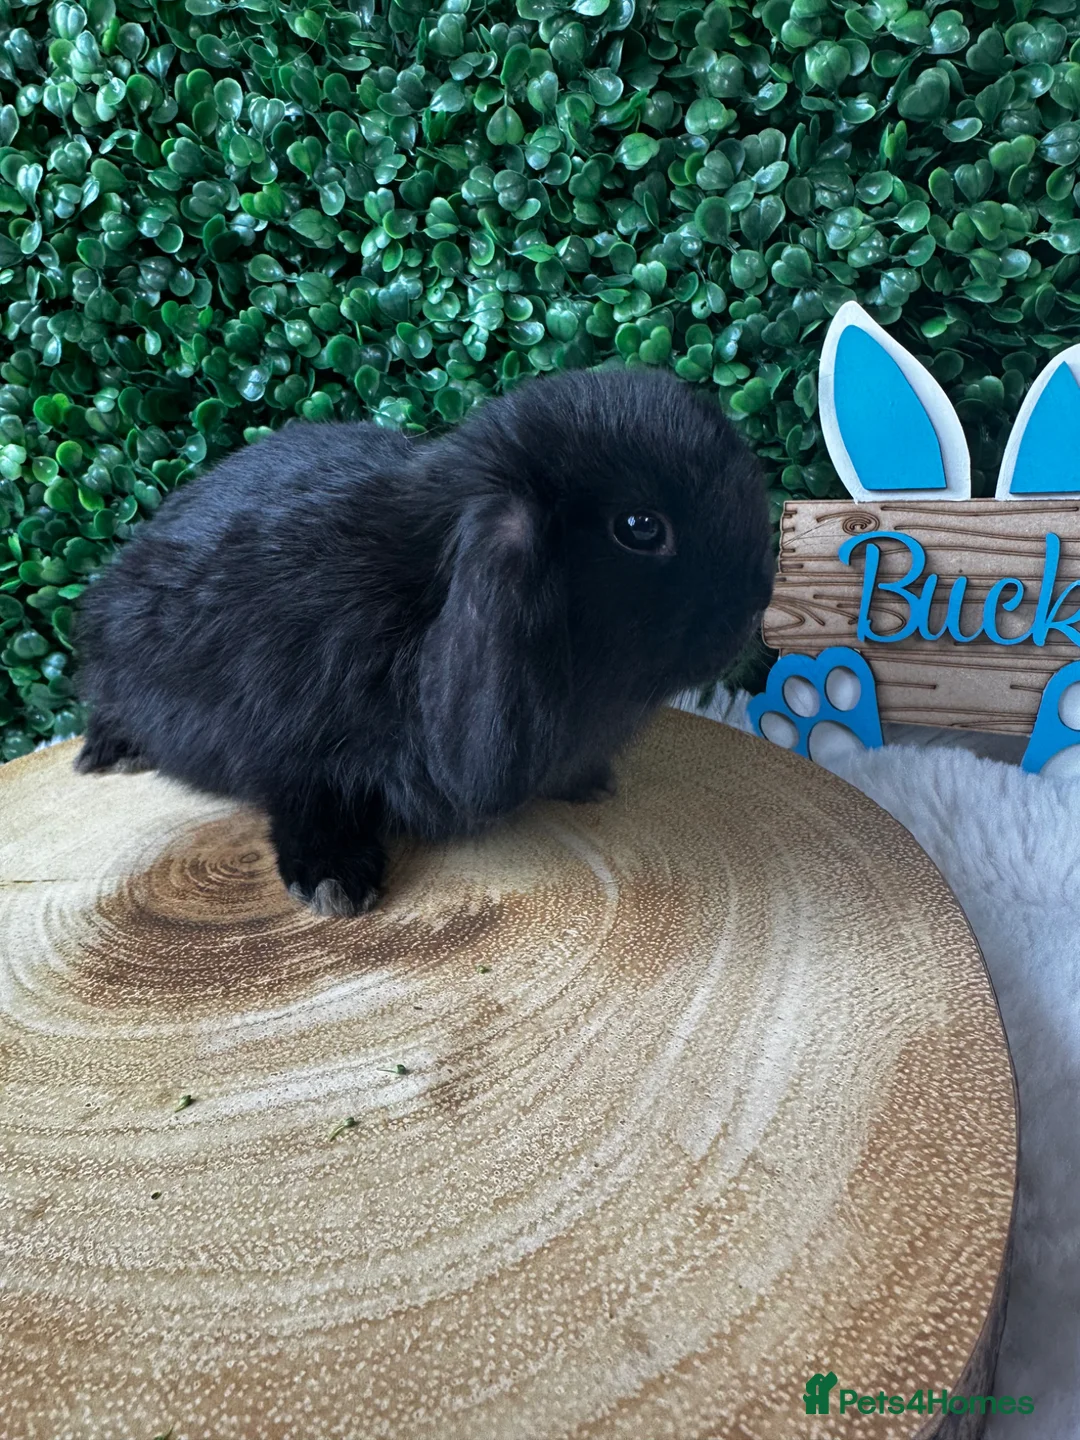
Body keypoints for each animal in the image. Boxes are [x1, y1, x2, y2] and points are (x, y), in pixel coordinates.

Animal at [74, 366, 774, 916]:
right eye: (640, 526)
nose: (755, 606)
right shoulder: (287, 738)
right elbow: (305, 802)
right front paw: (332, 881)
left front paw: (588, 782)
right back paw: (109, 752)